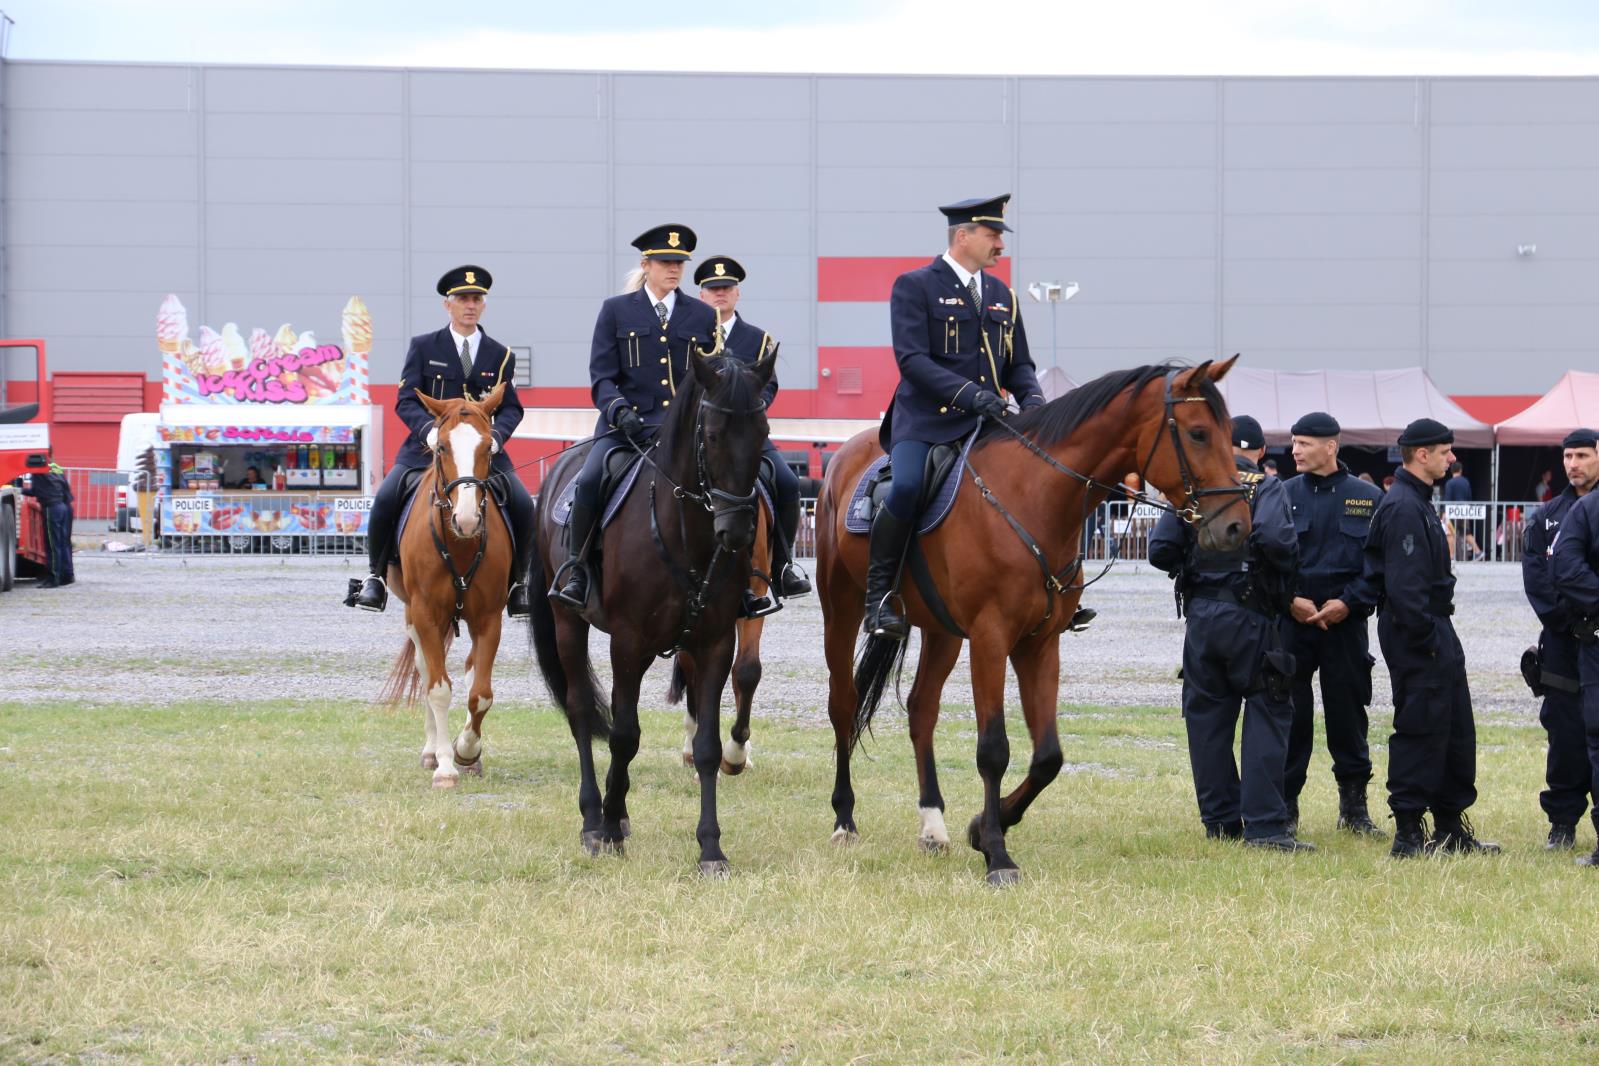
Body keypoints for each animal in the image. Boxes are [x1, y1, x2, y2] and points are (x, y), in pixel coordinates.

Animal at [378, 388, 511, 789]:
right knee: (425, 671)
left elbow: (480, 693)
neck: (460, 543)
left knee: (468, 672)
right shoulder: (425, 613)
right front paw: (446, 767)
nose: (466, 520)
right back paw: (431, 751)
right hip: (415, 617)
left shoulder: (489, 618)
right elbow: (437, 688)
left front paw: (467, 751)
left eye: (489, 447)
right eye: (441, 448)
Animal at [530, 348, 773, 875]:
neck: (684, 529)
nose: (738, 531)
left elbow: (706, 748)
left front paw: (710, 848)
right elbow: (624, 735)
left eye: (763, 430)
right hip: (568, 623)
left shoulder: (715, 641)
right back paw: (592, 817)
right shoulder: (628, 641)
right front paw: (607, 824)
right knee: (581, 712)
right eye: (712, 435)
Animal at [818, 357, 1253, 882]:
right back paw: (844, 819)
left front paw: (984, 827)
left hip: (942, 631)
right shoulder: (991, 638)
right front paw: (997, 855)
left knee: (922, 709)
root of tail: (846, 454)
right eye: (1197, 433)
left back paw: (933, 825)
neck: (1033, 497)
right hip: (840, 610)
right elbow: (993, 750)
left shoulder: (1040, 642)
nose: (1236, 527)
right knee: (843, 704)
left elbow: (1048, 756)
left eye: (1228, 433)